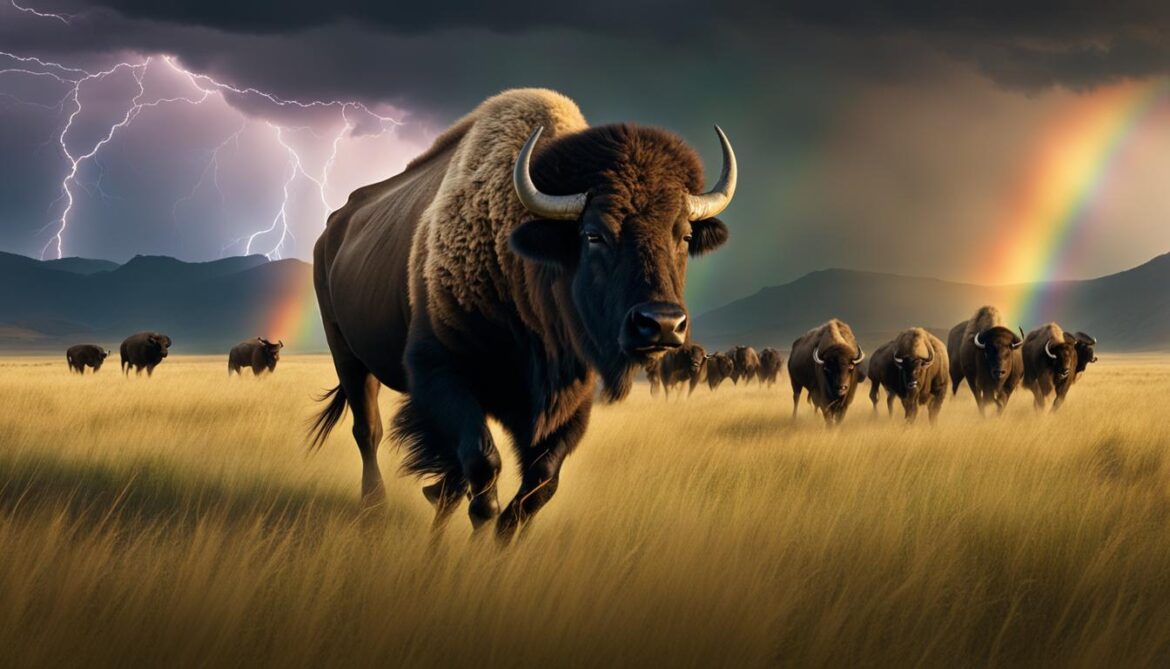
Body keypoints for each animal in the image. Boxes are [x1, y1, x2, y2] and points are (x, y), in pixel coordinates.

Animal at [309, 89, 737, 540]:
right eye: (594, 234)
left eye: (684, 235)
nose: (662, 324)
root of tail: (331, 231)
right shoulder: (440, 371)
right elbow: (483, 466)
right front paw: (476, 529)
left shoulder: (569, 399)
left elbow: (540, 482)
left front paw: (501, 532)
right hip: (348, 356)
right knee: (367, 430)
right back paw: (374, 506)